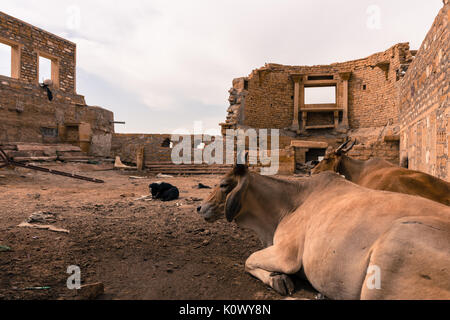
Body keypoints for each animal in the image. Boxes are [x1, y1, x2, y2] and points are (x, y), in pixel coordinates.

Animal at [197, 165, 450, 300]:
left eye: (223, 184)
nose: (200, 207)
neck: (288, 204)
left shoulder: (286, 254)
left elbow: (248, 261)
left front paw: (277, 279)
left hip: (395, 245)